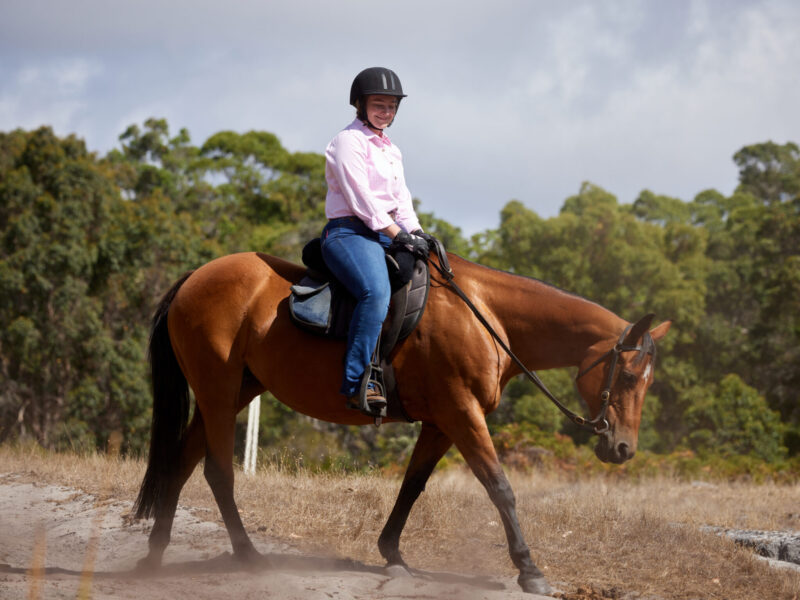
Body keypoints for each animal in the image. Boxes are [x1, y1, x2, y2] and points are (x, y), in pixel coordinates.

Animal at [133, 250, 670, 596]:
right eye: (627, 374)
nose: (622, 448)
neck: (486, 316)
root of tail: (194, 279)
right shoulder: (461, 413)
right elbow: (499, 486)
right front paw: (529, 569)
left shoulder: (441, 422)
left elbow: (412, 487)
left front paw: (391, 553)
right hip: (219, 393)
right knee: (217, 472)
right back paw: (246, 556)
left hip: (230, 392)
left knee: (181, 464)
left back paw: (155, 557)